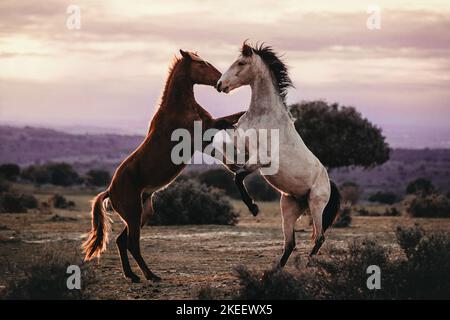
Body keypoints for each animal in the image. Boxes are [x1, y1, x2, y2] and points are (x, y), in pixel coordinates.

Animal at [82, 48, 244, 282]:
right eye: (201, 64)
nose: (219, 81)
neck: (179, 107)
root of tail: (110, 191)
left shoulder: (204, 138)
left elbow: (228, 129)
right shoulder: (202, 133)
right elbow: (231, 119)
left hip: (143, 213)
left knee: (122, 241)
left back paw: (132, 275)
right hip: (134, 214)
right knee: (132, 244)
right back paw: (150, 275)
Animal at [216, 42, 340, 268]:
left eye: (241, 62)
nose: (220, 84)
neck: (263, 116)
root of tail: (329, 182)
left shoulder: (260, 159)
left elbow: (238, 177)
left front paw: (253, 208)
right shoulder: (242, 146)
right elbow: (228, 158)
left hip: (316, 205)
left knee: (319, 237)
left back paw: (308, 264)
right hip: (288, 208)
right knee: (290, 244)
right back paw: (274, 272)